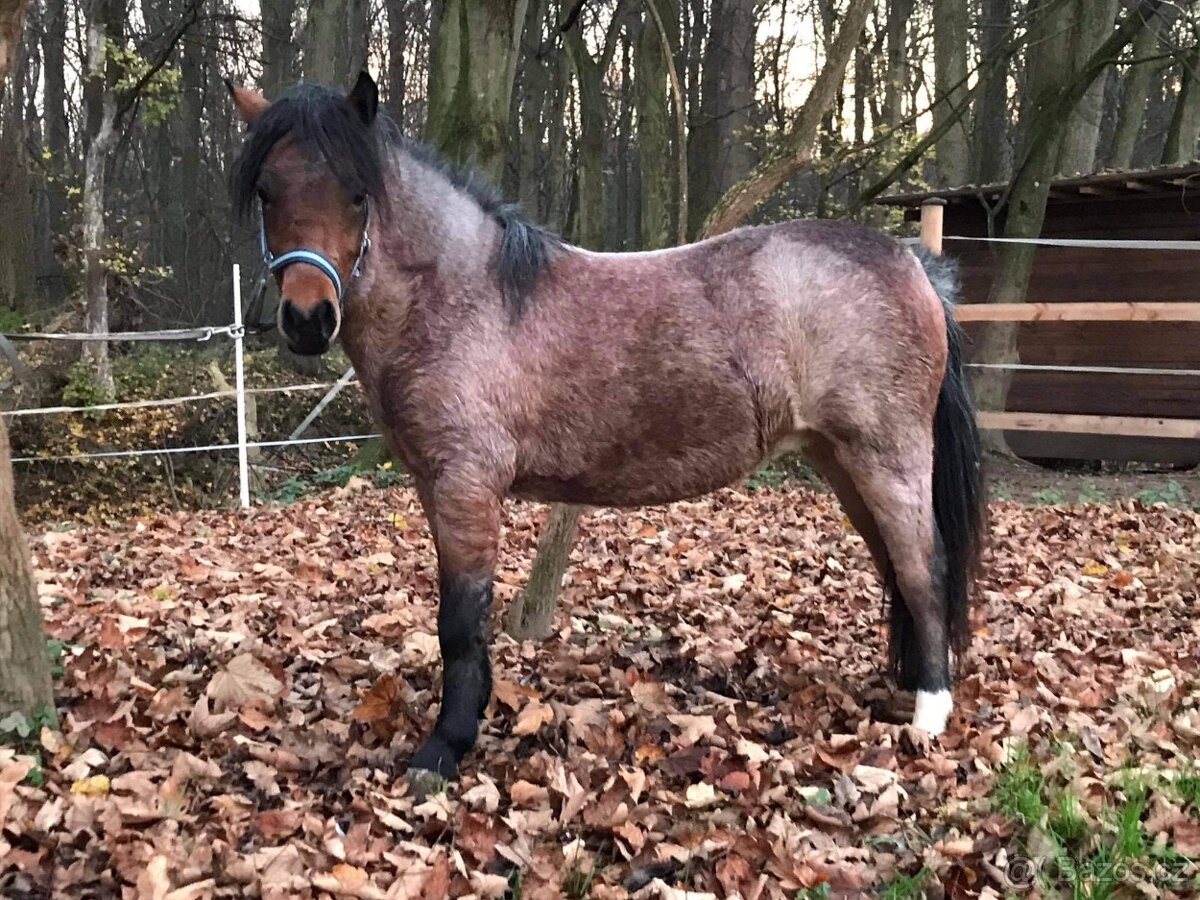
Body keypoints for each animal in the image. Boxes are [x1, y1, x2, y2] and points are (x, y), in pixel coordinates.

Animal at [226, 72, 986, 781]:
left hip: (887, 458)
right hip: (842, 461)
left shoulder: (466, 485)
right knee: (895, 566)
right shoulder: (434, 486)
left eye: (359, 194)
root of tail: (912, 262)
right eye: (265, 191)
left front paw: (444, 749)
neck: (465, 296)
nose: (306, 319)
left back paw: (928, 714)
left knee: (923, 567)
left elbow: (461, 621)